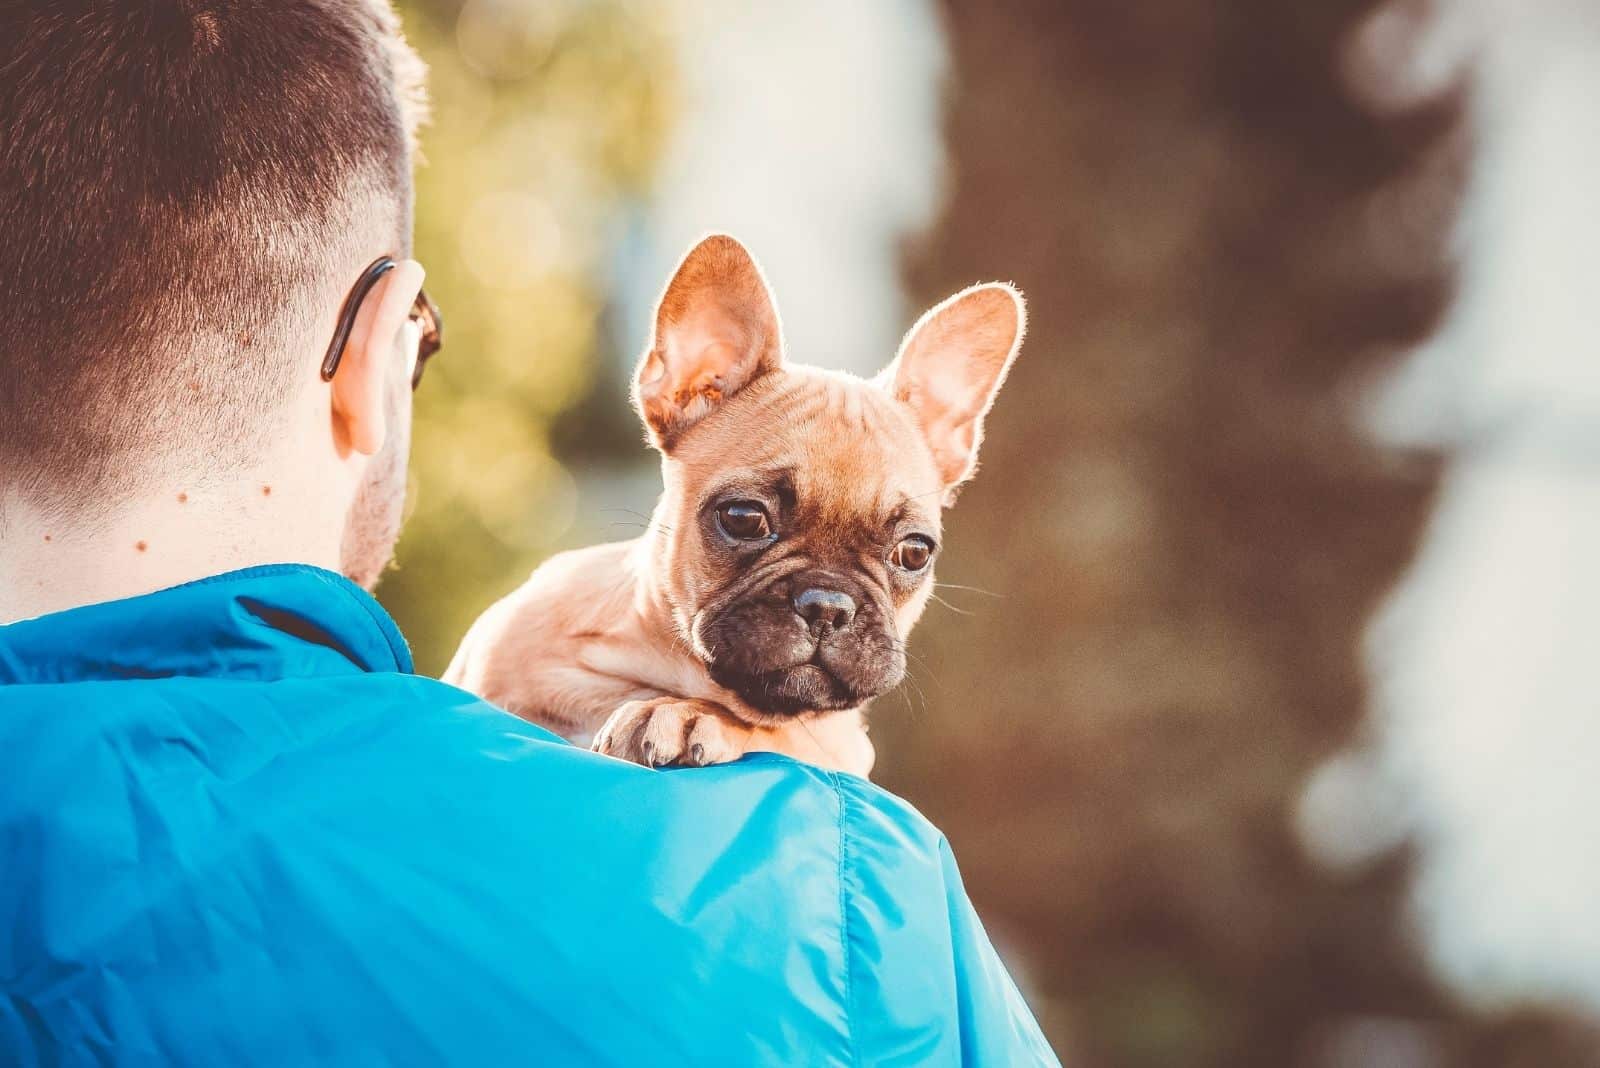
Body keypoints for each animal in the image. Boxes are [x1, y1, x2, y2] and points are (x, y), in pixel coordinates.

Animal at [448, 231, 1024, 777]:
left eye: (915, 552)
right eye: (745, 519)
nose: (828, 605)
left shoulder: (838, 746)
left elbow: (774, 730)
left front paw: (684, 714)